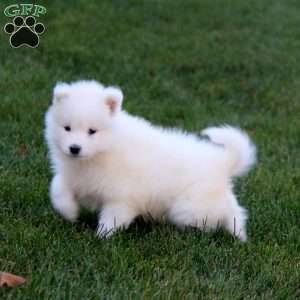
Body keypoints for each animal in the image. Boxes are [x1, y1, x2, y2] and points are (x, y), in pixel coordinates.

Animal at [44, 79, 255, 241]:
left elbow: (113, 217)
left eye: (92, 131)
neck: (102, 152)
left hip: (190, 207)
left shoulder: (122, 196)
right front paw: (70, 212)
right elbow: (58, 188)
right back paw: (240, 236)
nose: (74, 148)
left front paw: (102, 236)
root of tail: (224, 161)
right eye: (67, 128)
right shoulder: (71, 176)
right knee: (235, 211)